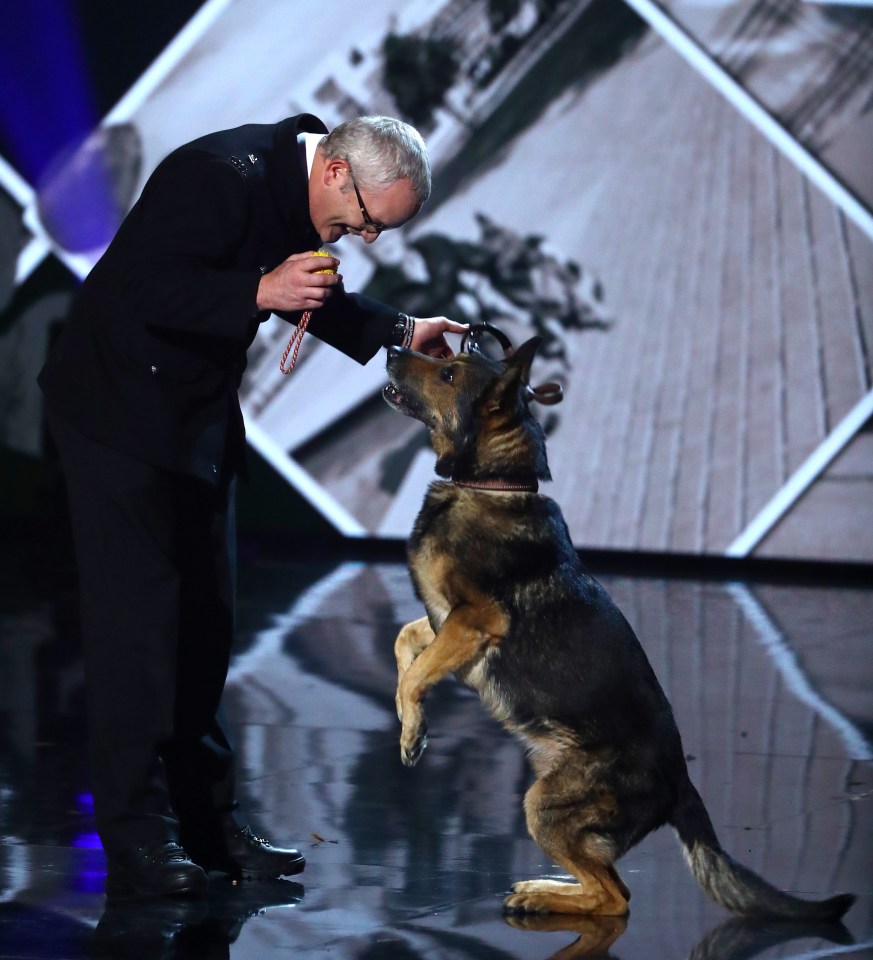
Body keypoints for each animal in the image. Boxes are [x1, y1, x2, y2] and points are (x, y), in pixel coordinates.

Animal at [384, 324, 856, 928]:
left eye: (447, 372)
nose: (394, 348)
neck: (492, 482)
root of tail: (680, 785)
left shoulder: (476, 619)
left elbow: (417, 670)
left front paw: (412, 727)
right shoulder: (446, 621)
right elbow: (407, 648)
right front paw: (410, 724)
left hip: (543, 804)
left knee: (615, 899)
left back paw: (543, 895)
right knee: (608, 885)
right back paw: (548, 885)